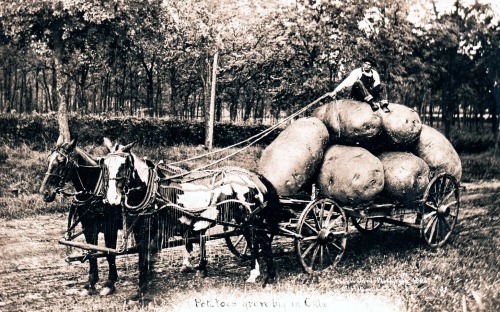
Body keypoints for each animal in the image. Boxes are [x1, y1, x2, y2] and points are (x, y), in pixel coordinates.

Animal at [39, 135, 121, 296]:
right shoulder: (88, 226)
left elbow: (109, 253)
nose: (44, 193)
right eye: (48, 160)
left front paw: (109, 283)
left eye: (62, 161)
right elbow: (91, 251)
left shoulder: (110, 227)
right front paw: (91, 283)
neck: (96, 190)